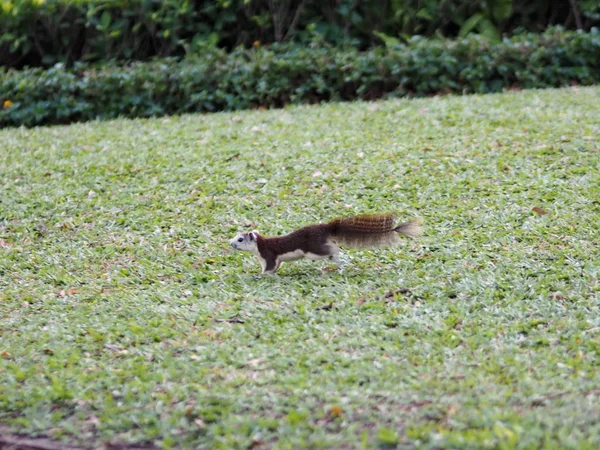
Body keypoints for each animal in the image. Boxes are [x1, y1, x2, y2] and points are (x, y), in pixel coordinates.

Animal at [230, 214, 422, 274]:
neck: (258, 249)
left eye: (240, 239)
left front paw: (261, 275)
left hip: (313, 249)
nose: (230, 243)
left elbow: (268, 267)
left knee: (332, 250)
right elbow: (276, 266)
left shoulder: (268, 253)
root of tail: (324, 228)